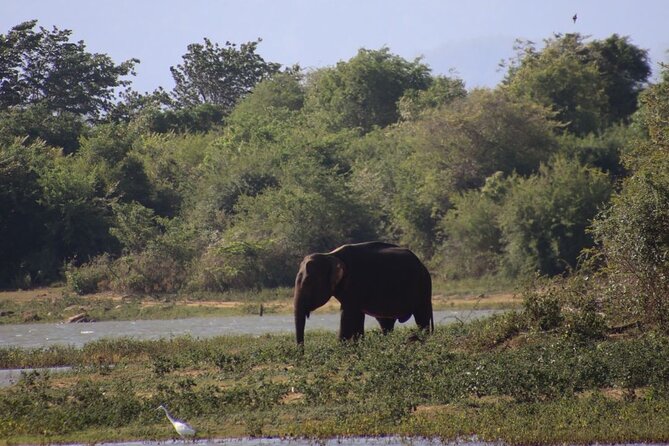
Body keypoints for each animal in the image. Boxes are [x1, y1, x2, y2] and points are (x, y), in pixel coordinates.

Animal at [293, 241, 433, 344]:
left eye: (307, 283)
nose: (302, 352)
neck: (330, 255)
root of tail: (422, 264)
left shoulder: (355, 283)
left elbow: (348, 315)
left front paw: (342, 347)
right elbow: (356, 316)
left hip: (423, 288)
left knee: (422, 317)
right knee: (386, 323)